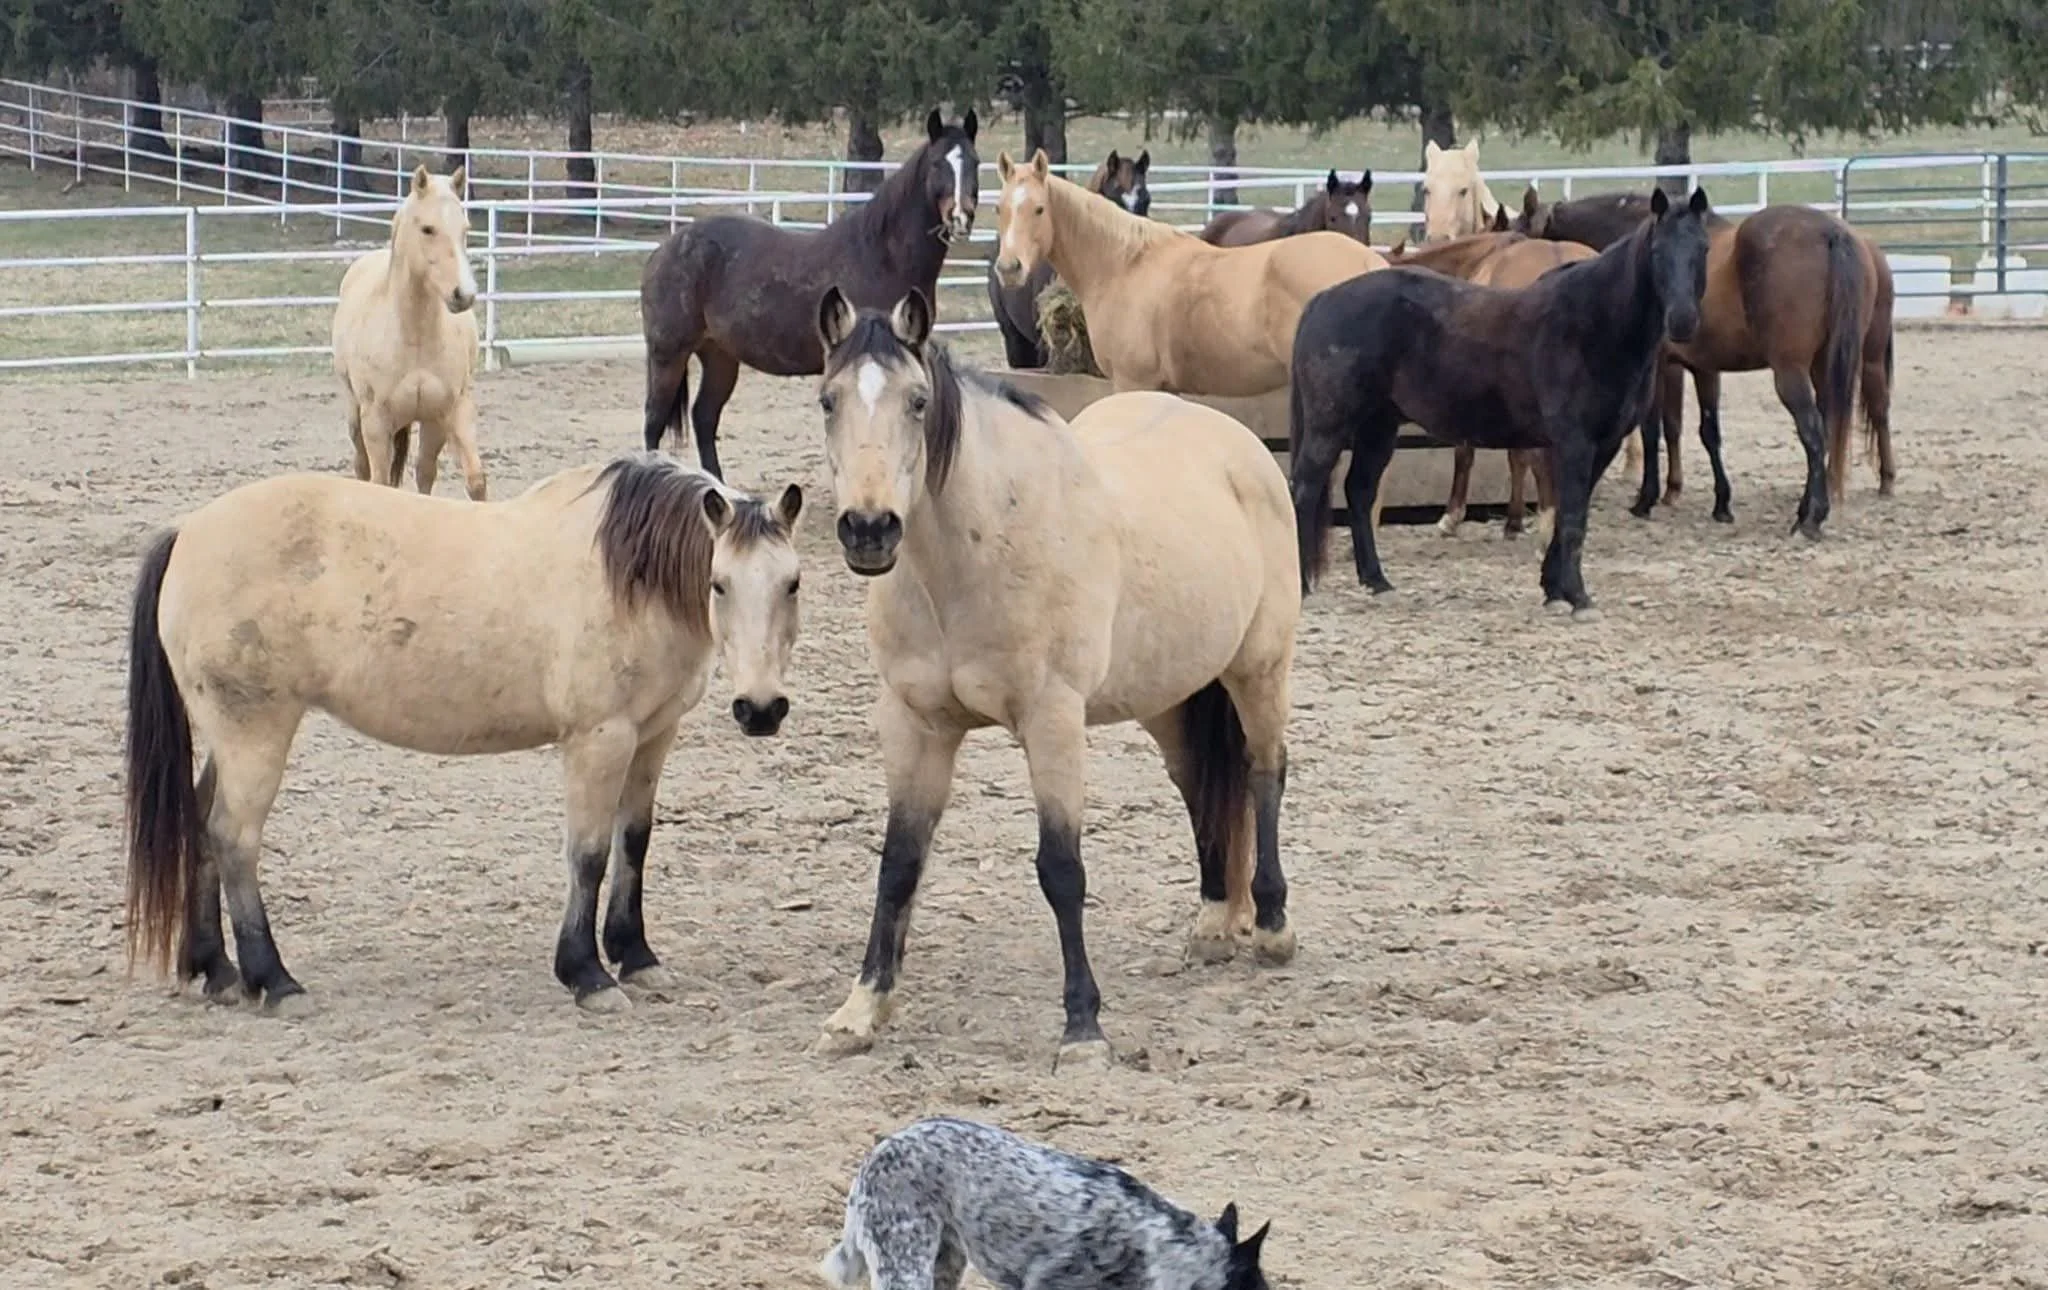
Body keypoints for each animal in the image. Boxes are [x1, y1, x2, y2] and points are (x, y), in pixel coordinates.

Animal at [122, 454, 806, 1014]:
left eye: (793, 583)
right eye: (719, 583)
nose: (761, 709)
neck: (628, 578)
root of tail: (188, 532)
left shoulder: (653, 735)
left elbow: (632, 842)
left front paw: (636, 956)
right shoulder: (599, 739)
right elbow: (588, 854)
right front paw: (587, 973)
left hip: (229, 735)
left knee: (200, 826)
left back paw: (216, 970)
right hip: (255, 733)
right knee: (233, 838)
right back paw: (274, 980)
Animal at [332, 164, 486, 500]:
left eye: (465, 229)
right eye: (428, 229)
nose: (464, 294)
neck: (414, 338)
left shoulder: (446, 414)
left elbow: (470, 480)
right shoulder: (376, 422)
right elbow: (379, 482)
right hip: (355, 416)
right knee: (362, 469)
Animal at [639, 108, 980, 478]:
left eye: (975, 162)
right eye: (937, 163)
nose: (961, 217)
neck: (882, 256)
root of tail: (664, 250)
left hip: (719, 356)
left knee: (704, 417)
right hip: (668, 355)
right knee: (654, 422)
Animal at [809, 287, 1301, 1069]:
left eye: (918, 402)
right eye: (828, 400)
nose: (869, 529)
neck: (971, 561)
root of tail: (1235, 442)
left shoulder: (1052, 722)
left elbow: (1061, 870)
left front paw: (1082, 1028)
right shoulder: (916, 726)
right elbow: (900, 863)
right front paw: (861, 1010)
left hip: (1258, 670)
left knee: (1263, 773)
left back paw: (1274, 924)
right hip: (1170, 699)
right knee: (1201, 786)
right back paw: (1215, 921)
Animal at [1515, 186, 1896, 534]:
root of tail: (1832, 233)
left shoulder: (1659, 367)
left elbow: (1654, 430)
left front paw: (1646, 499)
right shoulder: (1704, 368)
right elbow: (1707, 431)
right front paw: (1720, 504)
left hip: (1792, 372)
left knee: (1814, 433)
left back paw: (1811, 517)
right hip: (1826, 366)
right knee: (1832, 428)